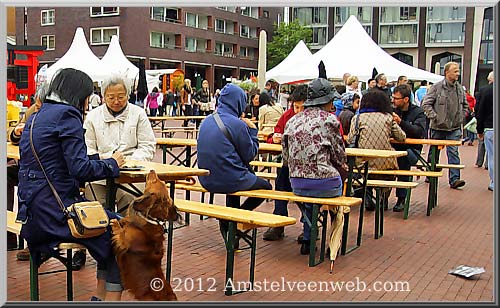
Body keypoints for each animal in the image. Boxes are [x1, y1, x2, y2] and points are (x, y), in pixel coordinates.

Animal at [111, 170, 180, 300]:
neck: (151, 220)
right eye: (162, 182)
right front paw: (121, 221)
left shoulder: (125, 242)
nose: (152, 170)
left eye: (157, 181)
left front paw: (115, 224)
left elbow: (120, 234)